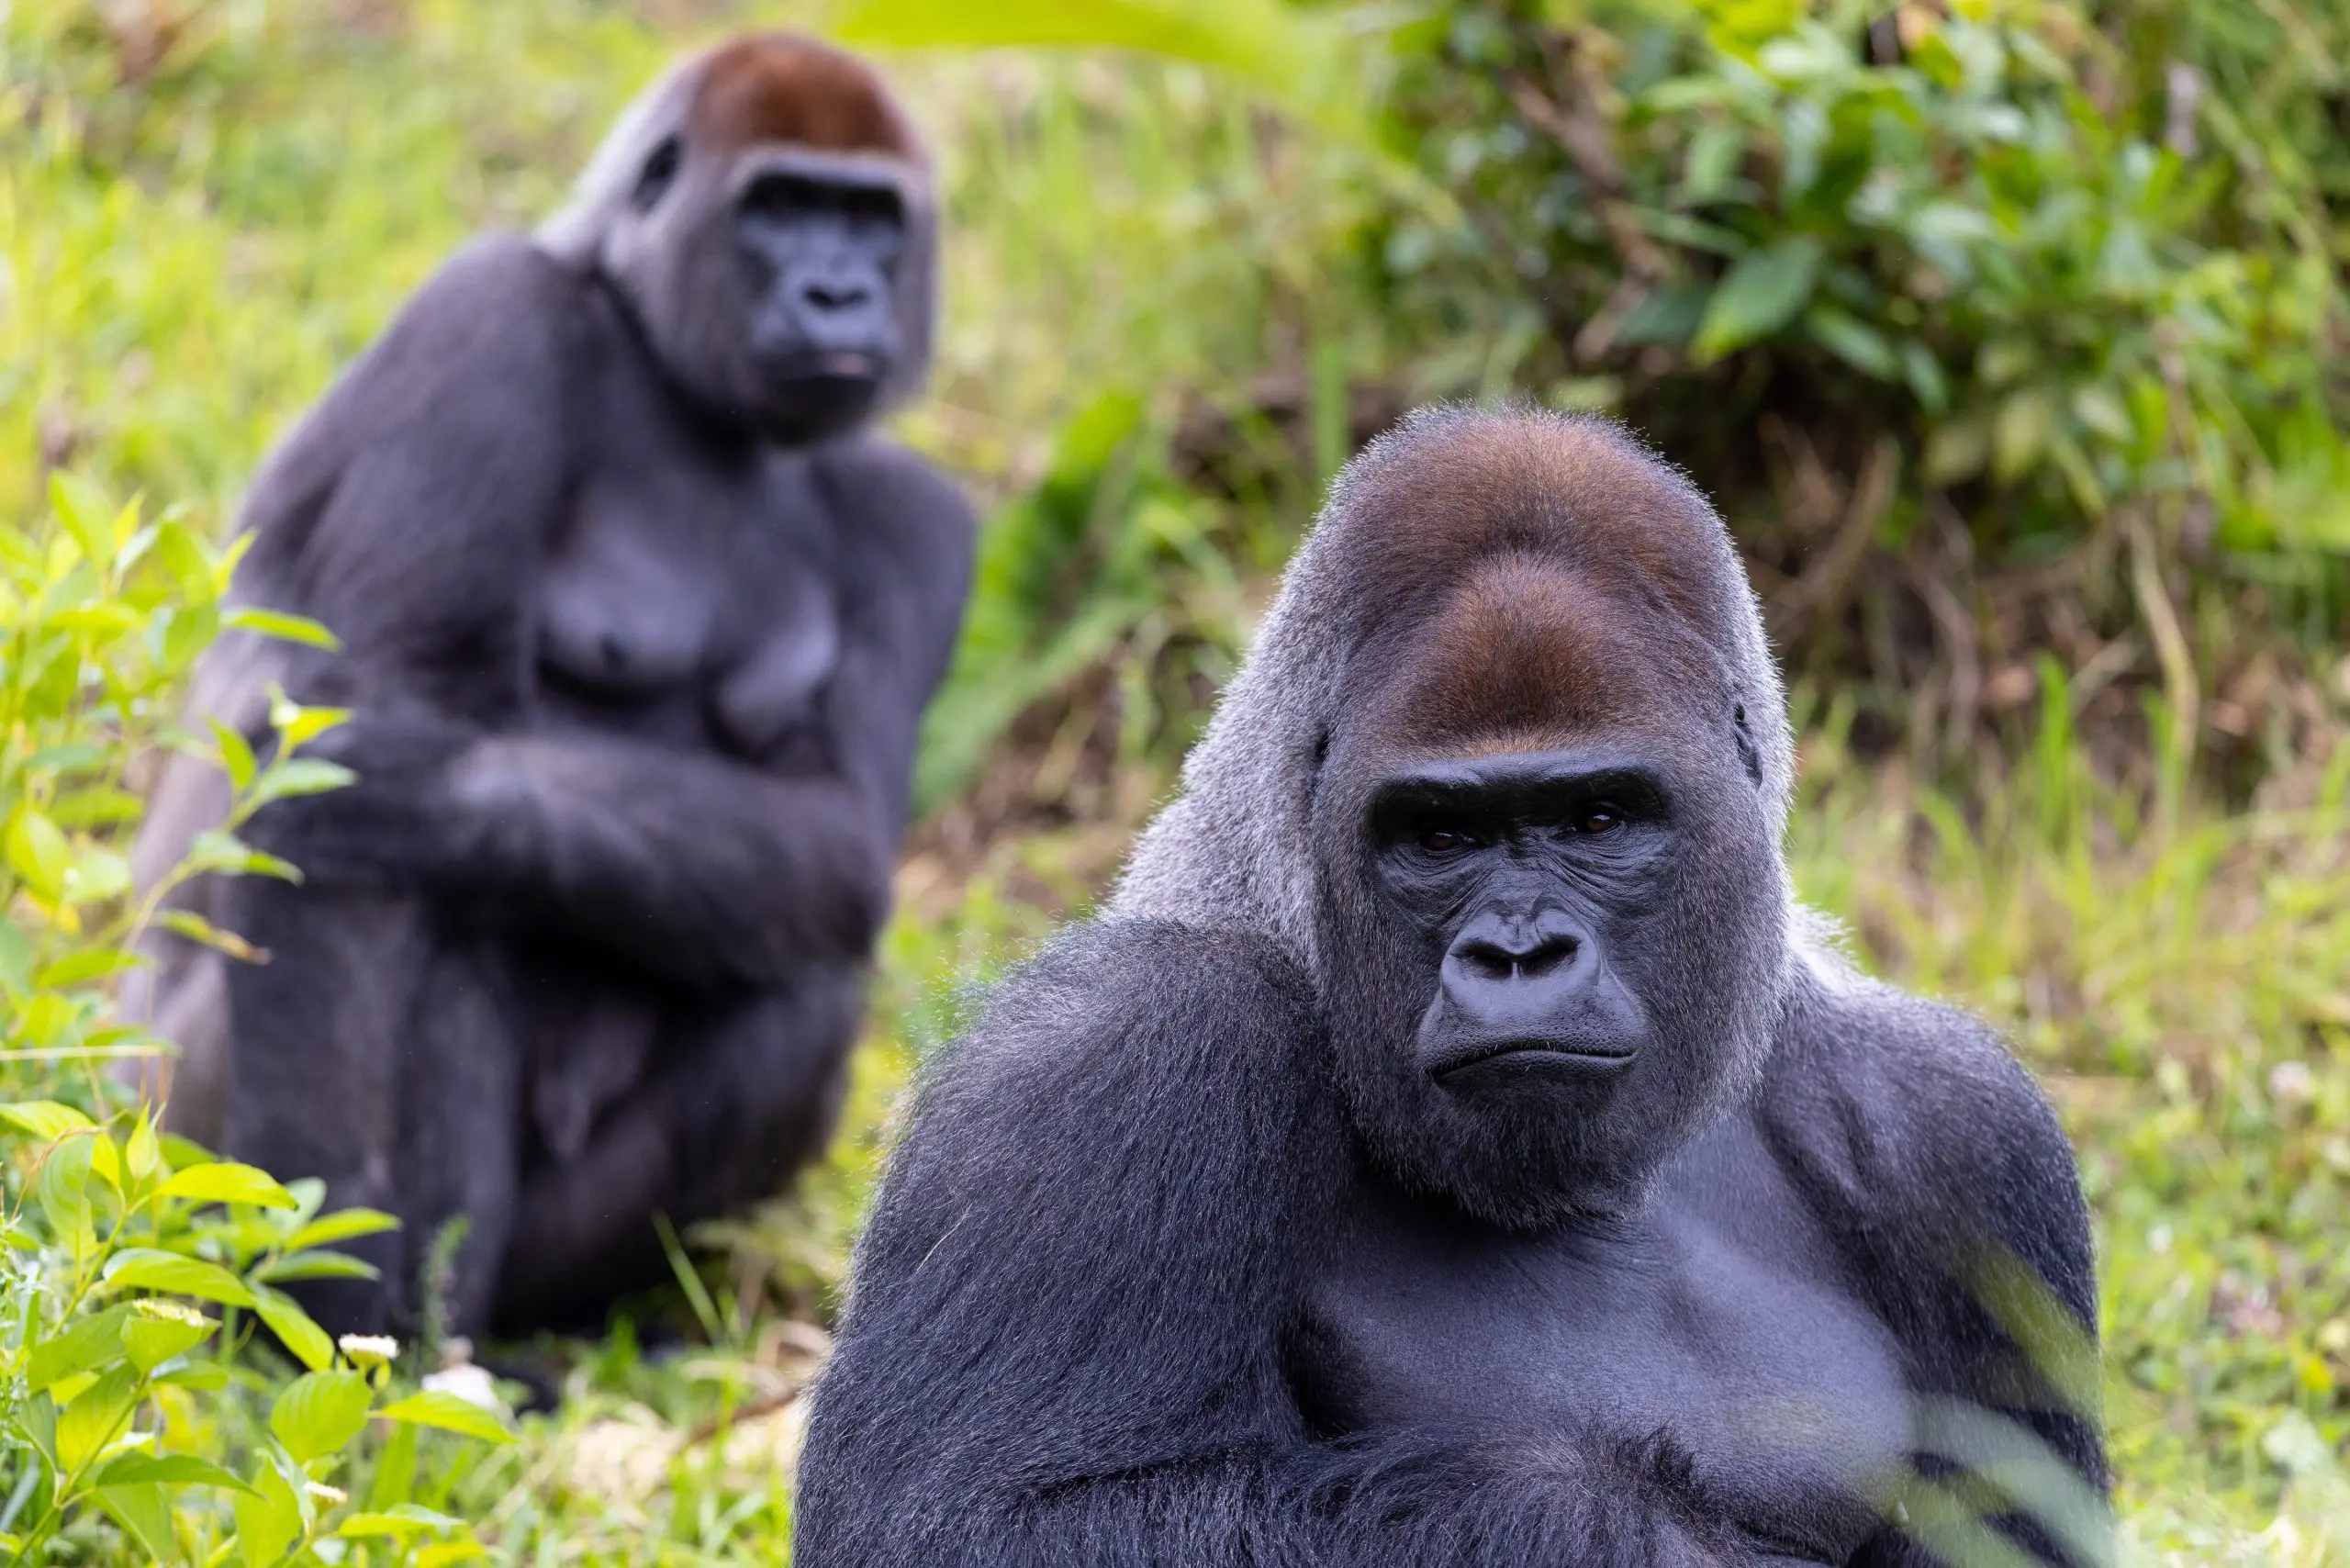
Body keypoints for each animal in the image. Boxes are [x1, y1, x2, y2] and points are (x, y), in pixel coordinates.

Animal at [123, 32, 974, 1338]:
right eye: (780, 206)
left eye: (869, 218)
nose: (840, 294)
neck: (674, 370)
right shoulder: (491, 317)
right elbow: (359, 771)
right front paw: (324, 1296)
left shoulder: (916, 516)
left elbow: (834, 836)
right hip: (168, 1154)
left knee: (797, 984)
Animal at [794, 408, 2106, 1566]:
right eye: (1437, 836)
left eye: (1597, 818)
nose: (1518, 954)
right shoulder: (1116, 1048)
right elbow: (982, 1518)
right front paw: (1624, 1534)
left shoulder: (1958, 1134)